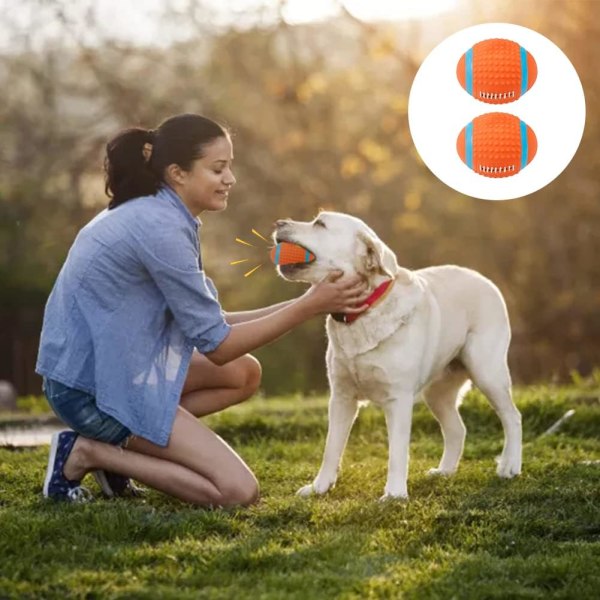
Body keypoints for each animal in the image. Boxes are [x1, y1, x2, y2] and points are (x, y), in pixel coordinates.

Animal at [274, 211, 524, 502]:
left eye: (320, 224)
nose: (278, 223)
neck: (362, 314)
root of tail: (484, 278)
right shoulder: (341, 397)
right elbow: (331, 448)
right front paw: (319, 487)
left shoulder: (398, 399)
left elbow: (397, 453)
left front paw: (394, 495)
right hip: (437, 392)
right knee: (457, 429)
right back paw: (444, 471)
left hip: (487, 372)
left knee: (512, 417)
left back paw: (510, 466)